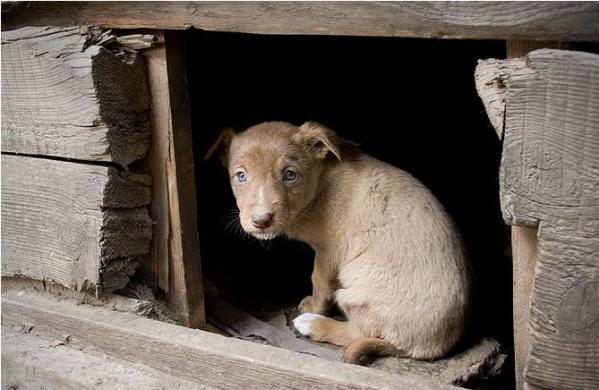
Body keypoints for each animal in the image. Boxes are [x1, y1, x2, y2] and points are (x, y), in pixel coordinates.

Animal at [209, 121, 472, 362]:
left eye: (290, 175)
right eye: (240, 175)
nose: (261, 220)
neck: (321, 182)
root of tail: (427, 348)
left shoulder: (329, 252)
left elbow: (319, 281)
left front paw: (314, 307)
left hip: (356, 289)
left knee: (357, 333)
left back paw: (314, 324)